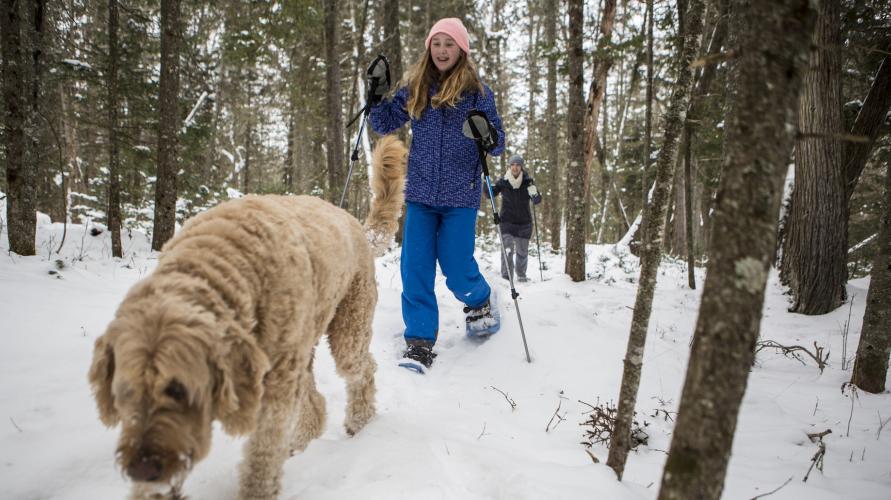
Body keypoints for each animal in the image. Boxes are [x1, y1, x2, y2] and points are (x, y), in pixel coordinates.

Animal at [89, 135, 410, 498]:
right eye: (124, 391)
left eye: (179, 390)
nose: (141, 468)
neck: (220, 267)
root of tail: (354, 222)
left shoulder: (273, 389)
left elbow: (262, 455)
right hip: (301, 350)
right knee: (314, 401)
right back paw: (301, 442)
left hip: (346, 330)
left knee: (363, 370)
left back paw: (359, 422)